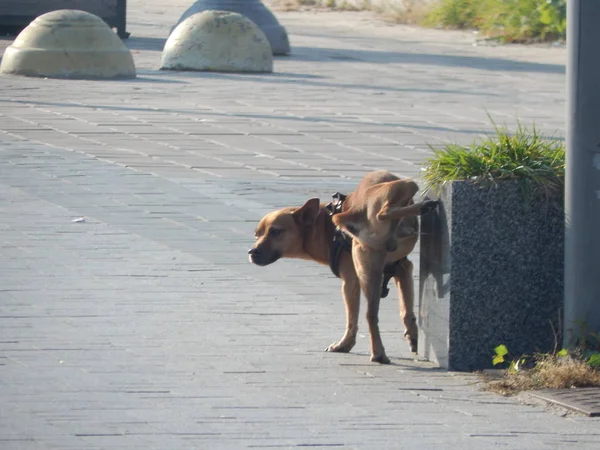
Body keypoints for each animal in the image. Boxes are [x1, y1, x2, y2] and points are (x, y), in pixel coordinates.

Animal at [248, 171, 436, 364]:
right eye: (257, 234)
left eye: (275, 231)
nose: (252, 252)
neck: (324, 226)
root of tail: (355, 211)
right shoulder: (403, 269)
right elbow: (406, 309)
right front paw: (412, 334)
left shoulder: (350, 282)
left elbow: (351, 319)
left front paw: (344, 344)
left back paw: (377, 353)